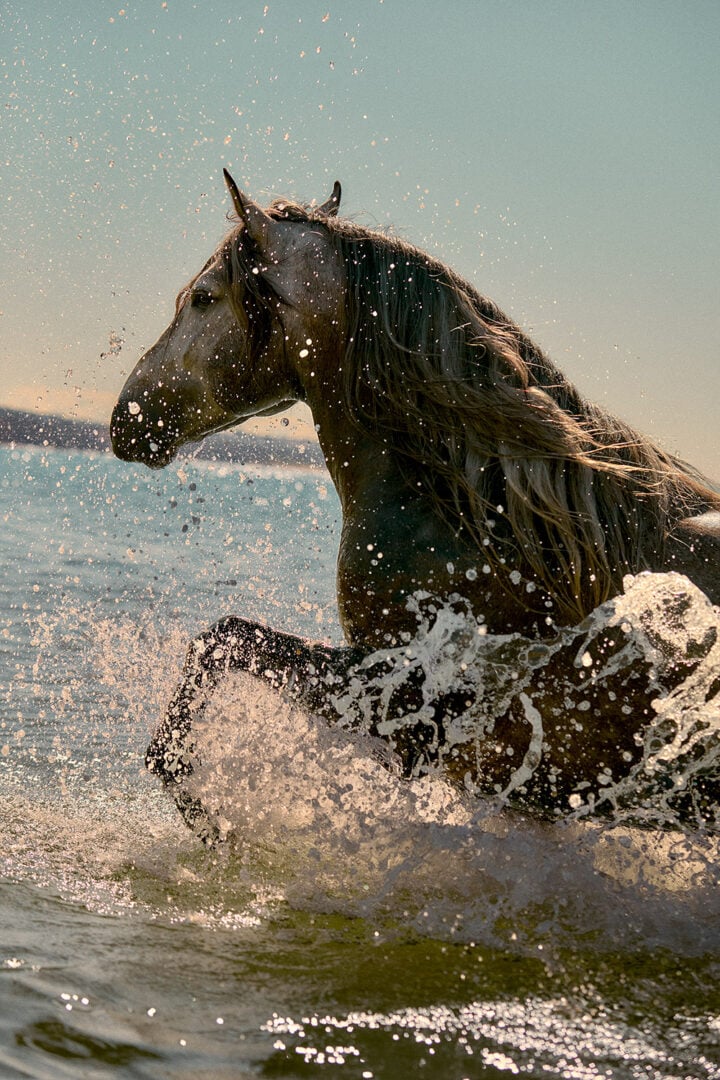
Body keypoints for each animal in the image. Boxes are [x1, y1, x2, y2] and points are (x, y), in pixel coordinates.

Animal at [111, 171, 720, 838]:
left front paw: (196, 802)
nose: (127, 417)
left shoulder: (408, 709)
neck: (489, 526)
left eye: (202, 297)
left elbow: (222, 640)